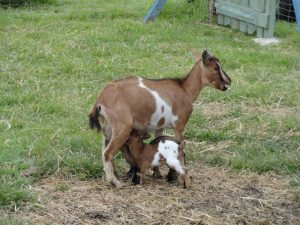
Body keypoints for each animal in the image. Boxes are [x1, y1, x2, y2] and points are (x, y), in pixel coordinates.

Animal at [88, 49, 231, 188]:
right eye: (216, 67)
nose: (228, 81)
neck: (185, 90)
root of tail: (100, 100)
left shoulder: (159, 126)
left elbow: (157, 141)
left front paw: (158, 173)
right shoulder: (179, 125)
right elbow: (182, 148)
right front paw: (179, 177)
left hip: (107, 129)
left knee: (105, 150)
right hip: (122, 127)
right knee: (107, 153)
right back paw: (116, 183)